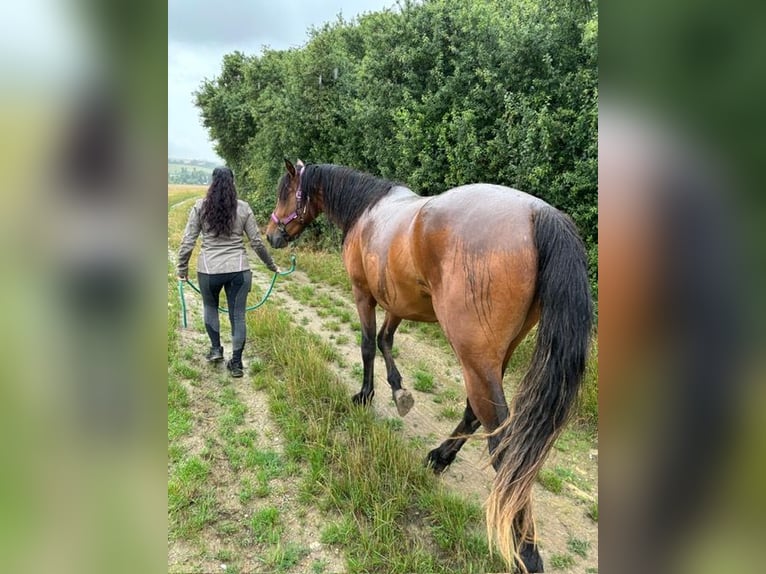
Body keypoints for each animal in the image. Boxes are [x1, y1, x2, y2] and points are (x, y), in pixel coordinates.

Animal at [265, 159, 593, 573]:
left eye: (286, 192)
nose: (271, 235)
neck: (368, 209)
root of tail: (538, 214)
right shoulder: (397, 302)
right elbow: (386, 341)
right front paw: (399, 391)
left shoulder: (364, 294)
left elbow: (367, 345)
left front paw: (366, 395)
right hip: (493, 357)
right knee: (476, 415)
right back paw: (440, 457)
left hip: (474, 358)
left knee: (504, 448)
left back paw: (525, 553)